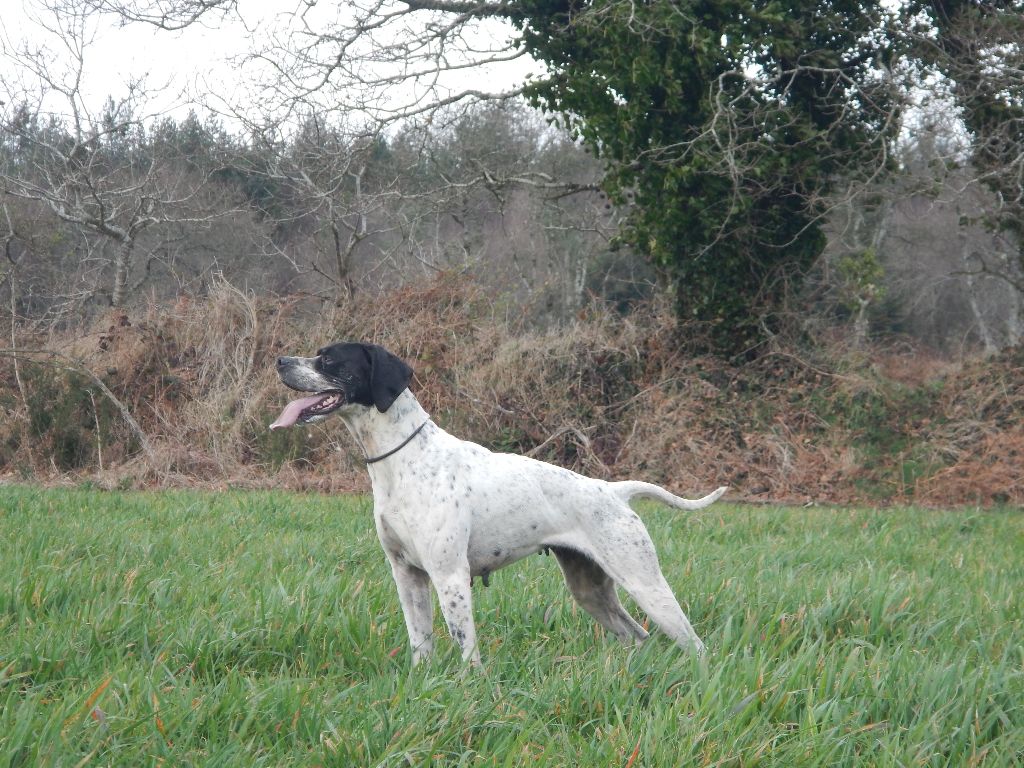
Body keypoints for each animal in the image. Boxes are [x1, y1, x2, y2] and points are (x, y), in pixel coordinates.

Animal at [268, 342, 724, 667]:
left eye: (328, 360)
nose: (280, 360)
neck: (405, 460)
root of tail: (613, 491)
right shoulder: (407, 575)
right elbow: (420, 645)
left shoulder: (450, 576)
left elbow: (467, 649)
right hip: (591, 591)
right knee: (639, 637)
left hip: (646, 583)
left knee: (696, 645)